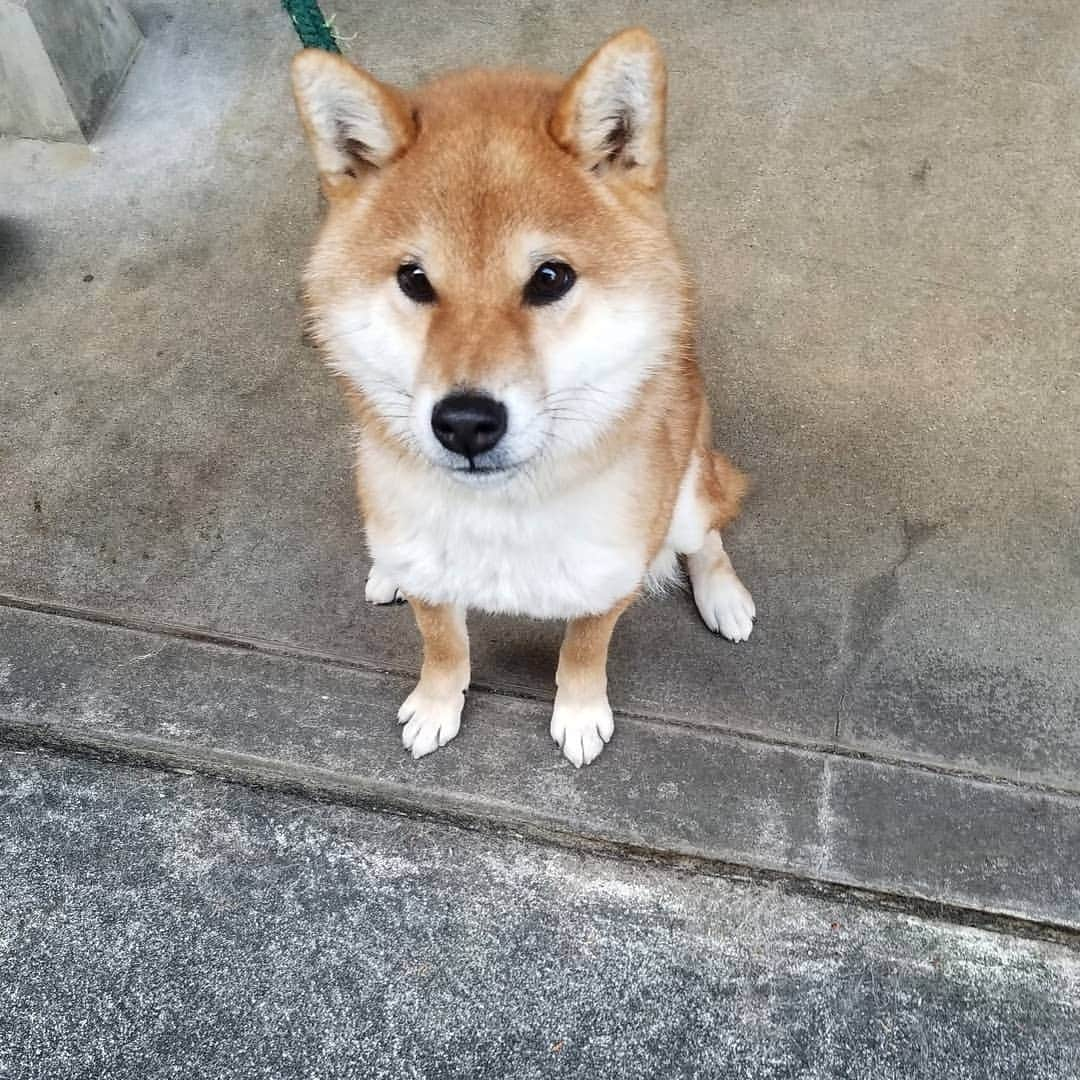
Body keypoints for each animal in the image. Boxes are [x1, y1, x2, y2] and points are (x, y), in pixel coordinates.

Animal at [291, 27, 756, 768]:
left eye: (550, 277)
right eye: (414, 279)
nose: (465, 423)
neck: (502, 515)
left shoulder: (607, 580)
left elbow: (584, 652)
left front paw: (580, 714)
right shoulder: (431, 576)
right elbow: (443, 644)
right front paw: (437, 705)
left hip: (687, 491)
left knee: (706, 533)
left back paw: (724, 595)